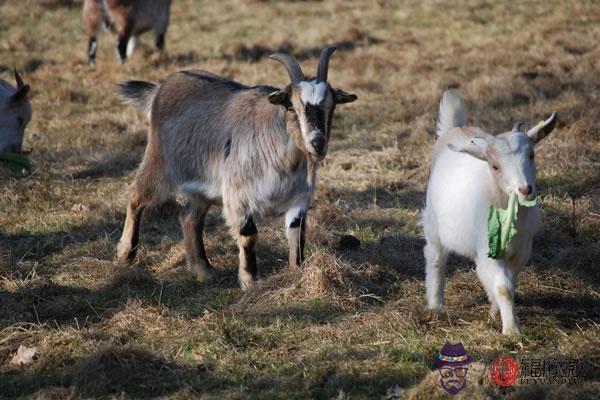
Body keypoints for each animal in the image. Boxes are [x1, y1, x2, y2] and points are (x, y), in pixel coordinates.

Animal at [422, 90, 556, 334]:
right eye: (495, 166)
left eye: (531, 155)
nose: (525, 189)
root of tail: (455, 129)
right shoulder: (488, 250)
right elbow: (503, 287)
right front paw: (511, 331)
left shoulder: (522, 250)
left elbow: (510, 283)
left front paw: (495, 312)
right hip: (434, 226)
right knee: (435, 258)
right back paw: (436, 305)